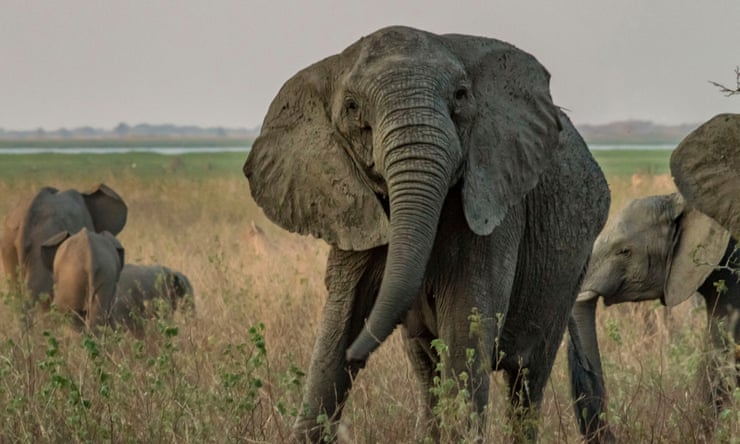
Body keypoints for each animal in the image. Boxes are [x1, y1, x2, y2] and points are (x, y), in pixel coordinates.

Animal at [243, 26, 610, 442]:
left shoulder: (493, 202)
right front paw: (342, 347)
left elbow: (466, 325)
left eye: (461, 96)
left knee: (527, 378)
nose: (359, 353)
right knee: (426, 365)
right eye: (352, 107)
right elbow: (340, 319)